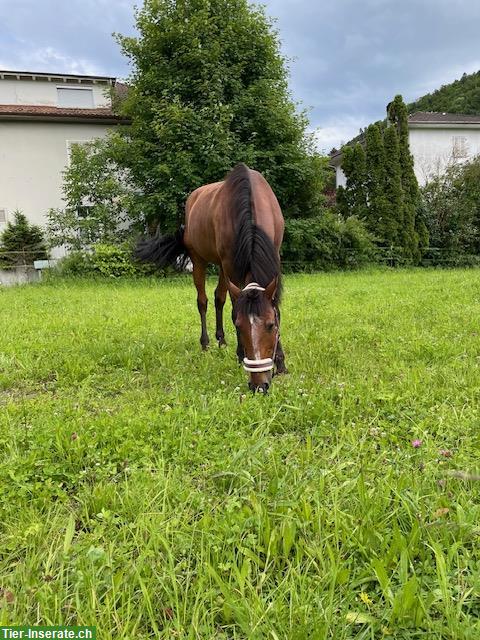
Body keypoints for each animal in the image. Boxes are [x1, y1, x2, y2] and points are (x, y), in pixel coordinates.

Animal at [135, 162, 284, 392]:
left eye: (270, 325)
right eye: (239, 327)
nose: (259, 386)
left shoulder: (274, 256)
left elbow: (275, 306)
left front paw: (281, 362)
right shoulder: (230, 267)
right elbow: (234, 308)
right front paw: (240, 354)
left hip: (223, 267)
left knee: (218, 298)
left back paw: (221, 341)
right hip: (200, 261)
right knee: (203, 301)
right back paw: (205, 344)